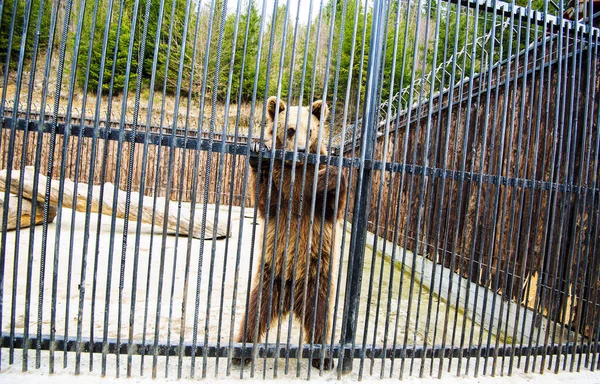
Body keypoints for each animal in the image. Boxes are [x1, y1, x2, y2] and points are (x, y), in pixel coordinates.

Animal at [234, 95, 346, 368]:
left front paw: (329, 176)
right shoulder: (281, 196)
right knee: (254, 315)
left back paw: (322, 357)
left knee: (320, 319)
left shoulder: (314, 203)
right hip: (268, 279)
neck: (296, 171)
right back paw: (241, 352)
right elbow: (266, 200)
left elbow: (332, 203)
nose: (303, 151)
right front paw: (256, 152)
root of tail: (290, 300)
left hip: (318, 281)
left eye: (311, 130)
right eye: (291, 129)